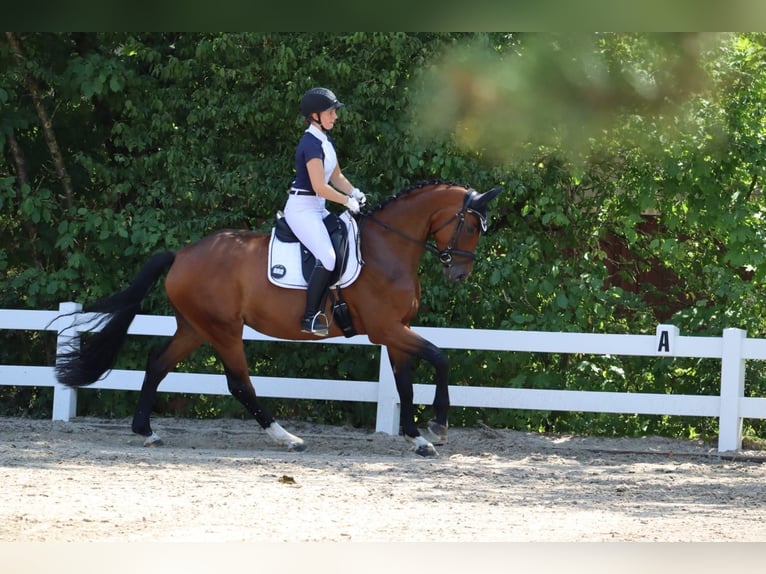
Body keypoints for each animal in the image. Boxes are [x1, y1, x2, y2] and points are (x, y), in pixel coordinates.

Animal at [55, 180, 502, 456]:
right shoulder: (388, 328)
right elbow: (441, 357)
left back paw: (146, 431)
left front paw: (416, 439)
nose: (460, 275)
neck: (387, 249)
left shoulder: (395, 332)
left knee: (157, 364)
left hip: (196, 328)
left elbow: (405, 385)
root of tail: (181, 254)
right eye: (470, 228)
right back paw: (286, 437)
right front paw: (438, 426)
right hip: (224, 330)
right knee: (239, 384)